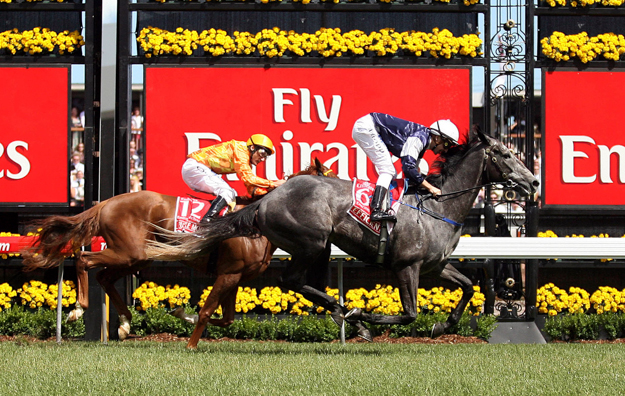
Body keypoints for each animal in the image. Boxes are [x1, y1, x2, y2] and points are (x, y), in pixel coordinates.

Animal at [22, 158, 338, 346]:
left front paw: (180, 312)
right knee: (84, 259)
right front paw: (191, 343)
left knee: (105, 277)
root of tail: (106, 203)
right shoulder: (229, 273)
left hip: (138, 255)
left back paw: (124, 323)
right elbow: (208, 311)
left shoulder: (234, 276)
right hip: (129, 251)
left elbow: (226, 318)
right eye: (331, 178)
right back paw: (77, 309)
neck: (255, 221)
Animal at [146, 131, 536, 340]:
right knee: (293, 280)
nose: (533, 181)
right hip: (311, 242)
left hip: (318, 248)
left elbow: (470, 286)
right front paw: (369, 318)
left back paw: (343, 313)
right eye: (504, 153)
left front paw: (443, 325)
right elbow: (409, 314)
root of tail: (267, 199)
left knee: (306, 284)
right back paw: (350, 315)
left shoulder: (434, 266)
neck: (437, 206)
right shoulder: (406, 266)